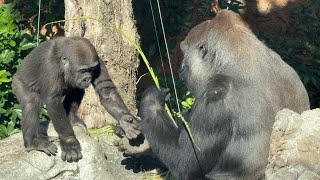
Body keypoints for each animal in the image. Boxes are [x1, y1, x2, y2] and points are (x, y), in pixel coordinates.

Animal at [12, 36, 140, 162]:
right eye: (83, 70)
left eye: (91, 69)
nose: (87, 79)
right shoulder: (50, 66)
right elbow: (53, 102)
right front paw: (69, 142)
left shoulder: (98, 61)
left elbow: (106, 91)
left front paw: (125, 121)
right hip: (18, 83)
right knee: (31, 103)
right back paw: (33, 142)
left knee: (77, 88)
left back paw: (71, 118)